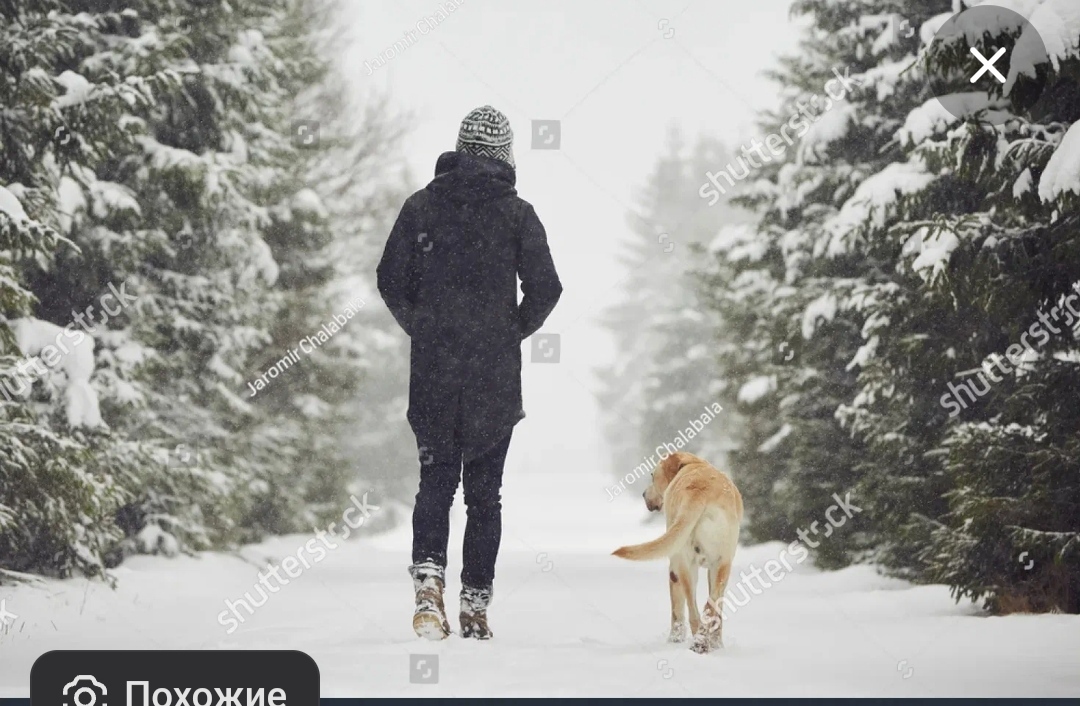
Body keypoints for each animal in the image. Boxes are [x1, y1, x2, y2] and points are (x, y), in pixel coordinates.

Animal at [617, 453, 743, 652]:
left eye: (652, 475)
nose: (643, 494)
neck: (692, 465)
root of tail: (699, 492)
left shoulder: (674, 568)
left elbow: (676, 611)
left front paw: (674, 640)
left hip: (683, 564)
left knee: (692, 610)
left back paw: (697, 642)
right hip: (721, 564)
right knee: (709, 607)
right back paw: (704, 643)